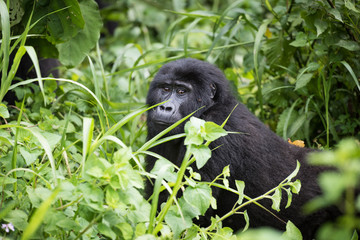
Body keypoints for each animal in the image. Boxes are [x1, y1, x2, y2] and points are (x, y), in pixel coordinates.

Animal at [145, 57, 338, 238]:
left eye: (181, 91)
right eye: (165, 89)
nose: (164, 107)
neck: (210, 107)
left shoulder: (214, 131)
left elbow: (187, 210)